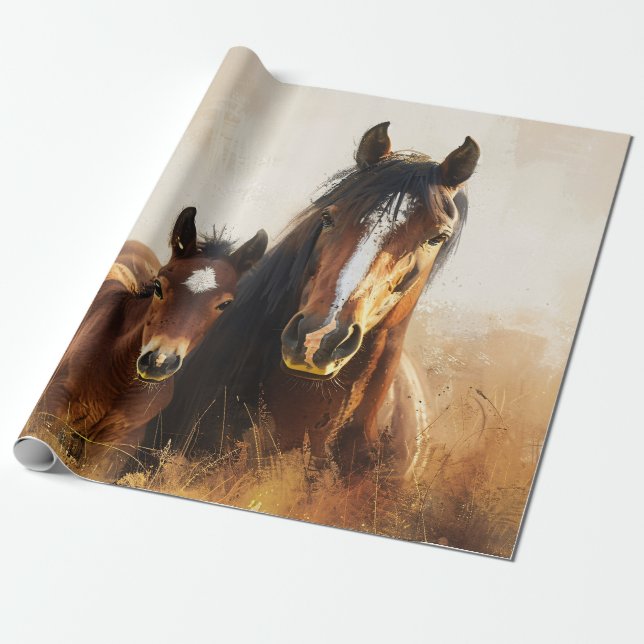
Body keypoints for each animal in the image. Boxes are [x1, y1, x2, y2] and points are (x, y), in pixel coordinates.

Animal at [30, 206, 267, 477]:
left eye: (225, 304)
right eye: (158, 286)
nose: (159, 361)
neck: (118, 381)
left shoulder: (117, 447)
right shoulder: (48, 409)